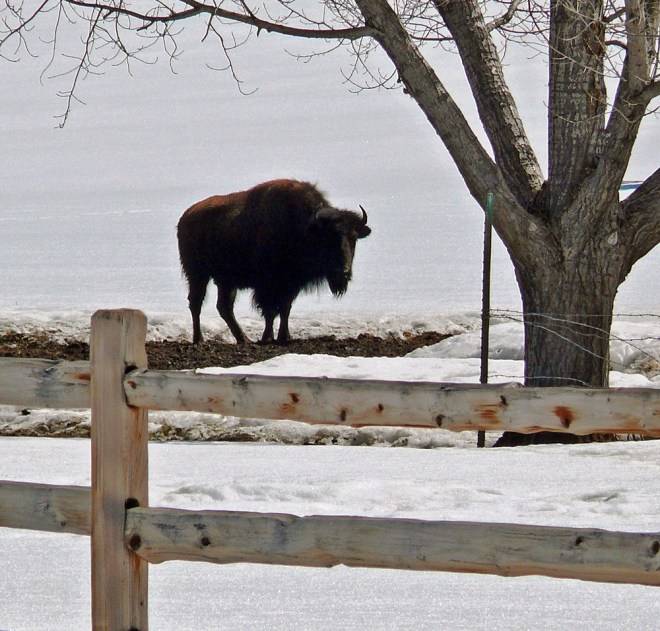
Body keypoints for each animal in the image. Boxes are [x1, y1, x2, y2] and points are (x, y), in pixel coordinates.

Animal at [177, 179, 371, 344]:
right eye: (328, 237)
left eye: (353, 238)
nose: (343, 272)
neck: (303, 228)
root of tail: (186, 216)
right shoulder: (268, 285)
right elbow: (270, 311)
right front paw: (268, 337)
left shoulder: (291, 285)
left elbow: (285, 309)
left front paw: (285, 336)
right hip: (197, 275)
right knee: (196, 303)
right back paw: (199, 339)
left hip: (225, 281)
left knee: (224, 307)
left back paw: (243, 339)